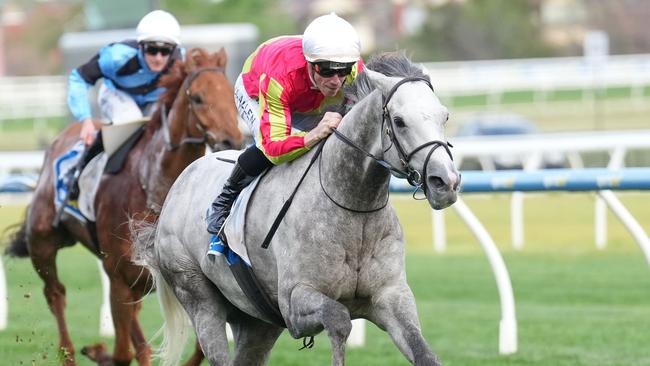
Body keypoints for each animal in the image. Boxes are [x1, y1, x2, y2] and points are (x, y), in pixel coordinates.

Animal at [5, 48, 243, 366]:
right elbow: (121, 353)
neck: (152, 184)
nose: (233, 139)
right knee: (56, 294)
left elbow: (198, 347)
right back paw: (70, 353)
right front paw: (100, 351)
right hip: (43, 242)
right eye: (197, 98)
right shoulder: (118, 274)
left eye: (230, 93)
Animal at [133, 53, 456, 364]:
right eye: (399, 121)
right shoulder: (294, 303)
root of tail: (179, 183)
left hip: (256, 322)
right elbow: (339, 320)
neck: (353, 205)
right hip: (198, 296)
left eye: (445, 116)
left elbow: (424, 354)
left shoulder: (391, 297)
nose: (446, 182)